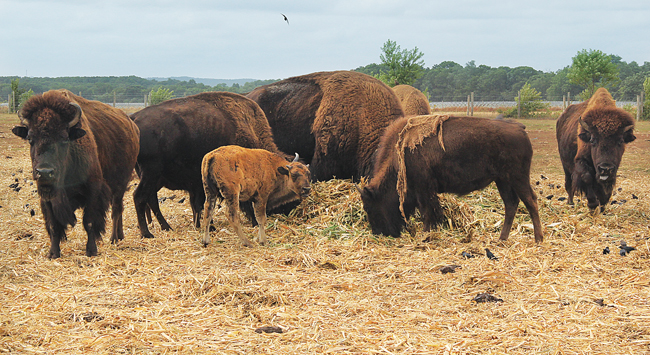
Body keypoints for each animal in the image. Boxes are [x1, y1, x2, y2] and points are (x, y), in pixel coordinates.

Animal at [11, 89, 138, 258]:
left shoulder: (93, 190)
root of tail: (132, 126)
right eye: (30, 138)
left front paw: (91, 250)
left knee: (117, 210)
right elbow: (53, 225)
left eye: (64, 138)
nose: (44, 172)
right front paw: (53, 253)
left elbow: (89, 221)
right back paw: (120, 236)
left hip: (120, 184)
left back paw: (114, 239)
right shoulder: (46, 195)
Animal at [132, 90, 284, 239]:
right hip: (151, 173)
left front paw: (202, 225)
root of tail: (134, 119)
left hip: (154, 178)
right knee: (139, 197)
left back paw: (165, 227)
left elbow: (199, 204)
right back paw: (147, 233)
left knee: (151, 199)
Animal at [360, 115, 540, 243]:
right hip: (503, 180)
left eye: (369, 207)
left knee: (530, 200)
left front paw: (425, 234)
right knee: (511, 204)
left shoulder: (423, 188)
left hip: (518, 177)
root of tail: (519, 127)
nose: (379, 233)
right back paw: (502, 239)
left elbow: (426, 212)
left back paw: (538, 239)